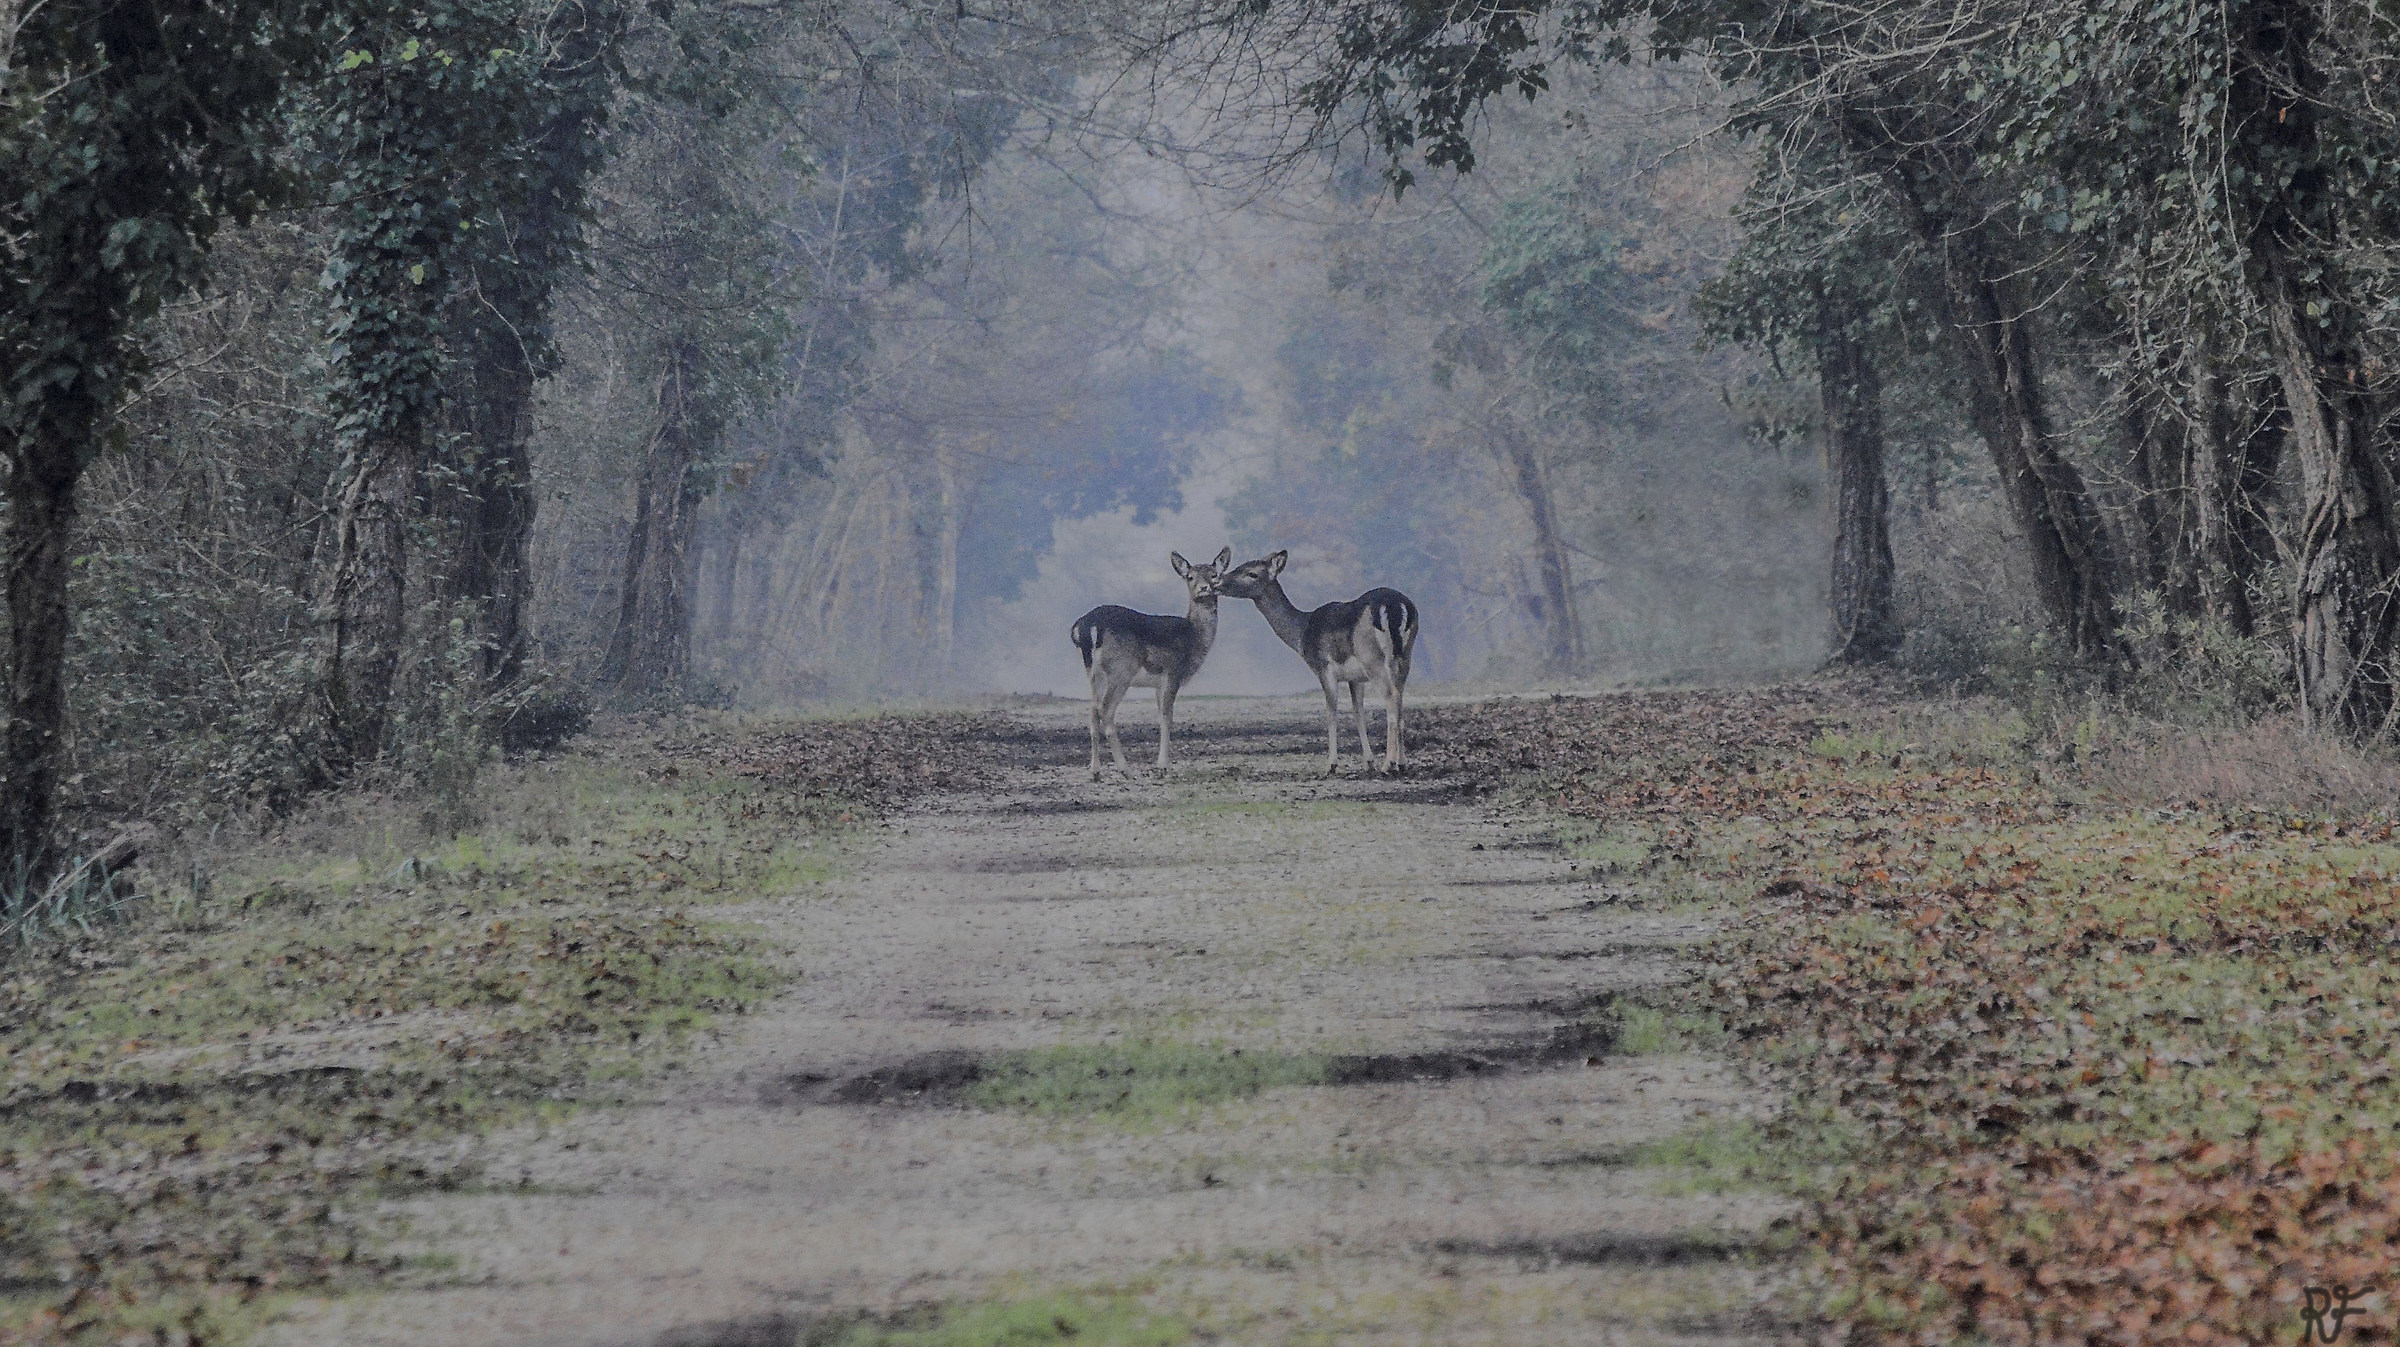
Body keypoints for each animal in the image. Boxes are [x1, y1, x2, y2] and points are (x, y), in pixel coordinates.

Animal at [1070, 547, 1230, 780]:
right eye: (1190, 577)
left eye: (1214, 574)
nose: (1204, 588)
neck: (1194, 639)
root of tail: (1085, 626)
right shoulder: (1173, 672)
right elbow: (1167, 717)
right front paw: (1163, 766)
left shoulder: (1157, 683)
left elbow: (1161, 715)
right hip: (1121, 670)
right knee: (1106, 711)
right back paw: (1125, 769)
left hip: (1092, 672)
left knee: (1092, 712)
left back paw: (1095, 771)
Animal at [1218, 550, 1418, 774]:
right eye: (1239, 566)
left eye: (1251, 573)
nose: (1218, 581)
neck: (1302, 635)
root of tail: (1395, 607)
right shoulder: (1355, 678)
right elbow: (1358, 712)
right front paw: (1368, 761)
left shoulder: (1323, 667)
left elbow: (1331, 712)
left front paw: (1331, 764)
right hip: (1404, 657)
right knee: (1400, 700)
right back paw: (1402, 763)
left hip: (1372, 658)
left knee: (1391, 698)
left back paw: (1388, 763)